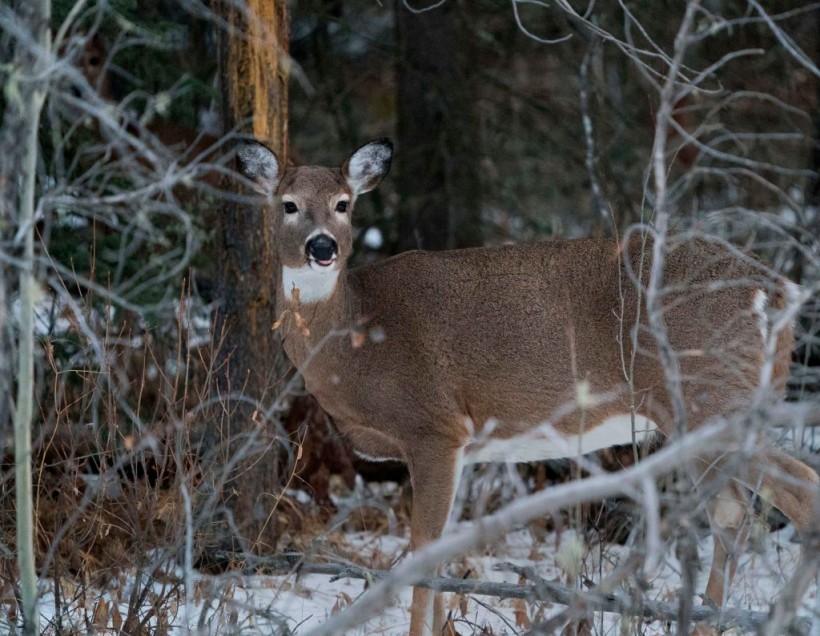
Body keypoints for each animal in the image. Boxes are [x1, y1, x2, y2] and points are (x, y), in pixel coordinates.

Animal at [237, 139, 820, 636]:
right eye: (288, 205)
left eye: (343, 203)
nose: (322, 247)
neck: (357, 337)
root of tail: (778, 290)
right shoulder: (464, 445)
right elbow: (444, 546)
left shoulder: (433, 426)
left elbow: (423, 548)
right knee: (733, 513)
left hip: (712, 396)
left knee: (796, 492)